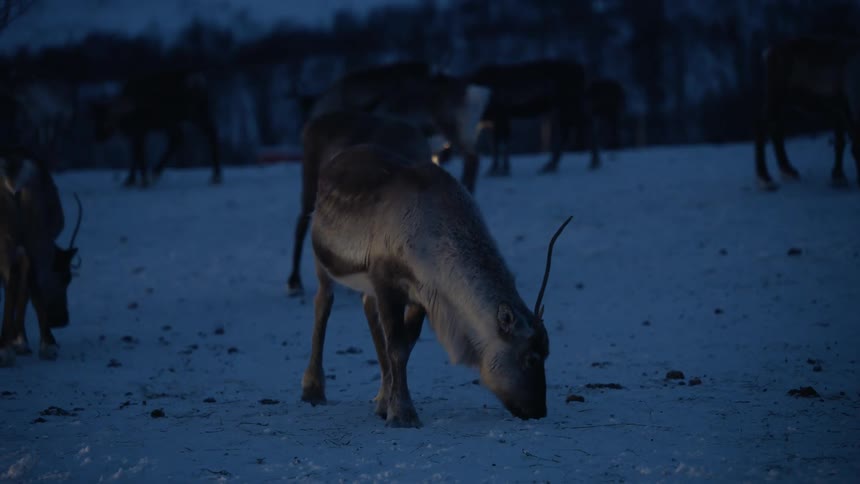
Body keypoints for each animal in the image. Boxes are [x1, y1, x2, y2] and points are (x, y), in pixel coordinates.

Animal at [0, 147, 81, 366]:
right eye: (66, 278)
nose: (63, 320)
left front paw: (18, 340)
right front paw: (20, 340)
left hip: (20, 236)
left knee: (17, 283)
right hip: (35, 236)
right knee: (30, 283)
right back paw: (45, 344)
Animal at [91, 69, 222, 188]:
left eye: (107, 120)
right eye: (95, 119)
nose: (97, 136)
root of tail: (199, 82)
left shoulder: (139, 130)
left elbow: (139, 155)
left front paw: (142, 181)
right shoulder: (137, 133)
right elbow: (135, 155)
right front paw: (130, 180)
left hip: (181, 115)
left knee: (187, 135)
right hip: (189, 115)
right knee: (195, 134)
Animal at [300, 142, 571, 427]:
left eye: (547, 353)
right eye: (531, 359)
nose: (538, 410)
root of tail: (335, 161)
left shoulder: (423, 296)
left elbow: (406, 345)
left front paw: (389, 404)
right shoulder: (388, 283)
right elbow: (397, 347)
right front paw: (403, 414)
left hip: (367, 283)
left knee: (368, 310)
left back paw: (380, 397)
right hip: (323, 260)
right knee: (323, 304)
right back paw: (313, 389)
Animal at [755, 37, 860, 190]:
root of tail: (769, 52)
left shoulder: (839, 109)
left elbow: (840, 142)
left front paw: (838, 176)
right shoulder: (842, 107)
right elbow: (842, 143)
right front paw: (838, 178)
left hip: (785, 100)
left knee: (776, 127)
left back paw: (788, 170)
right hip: (776, 94)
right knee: (762, 125)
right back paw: (765, 179)